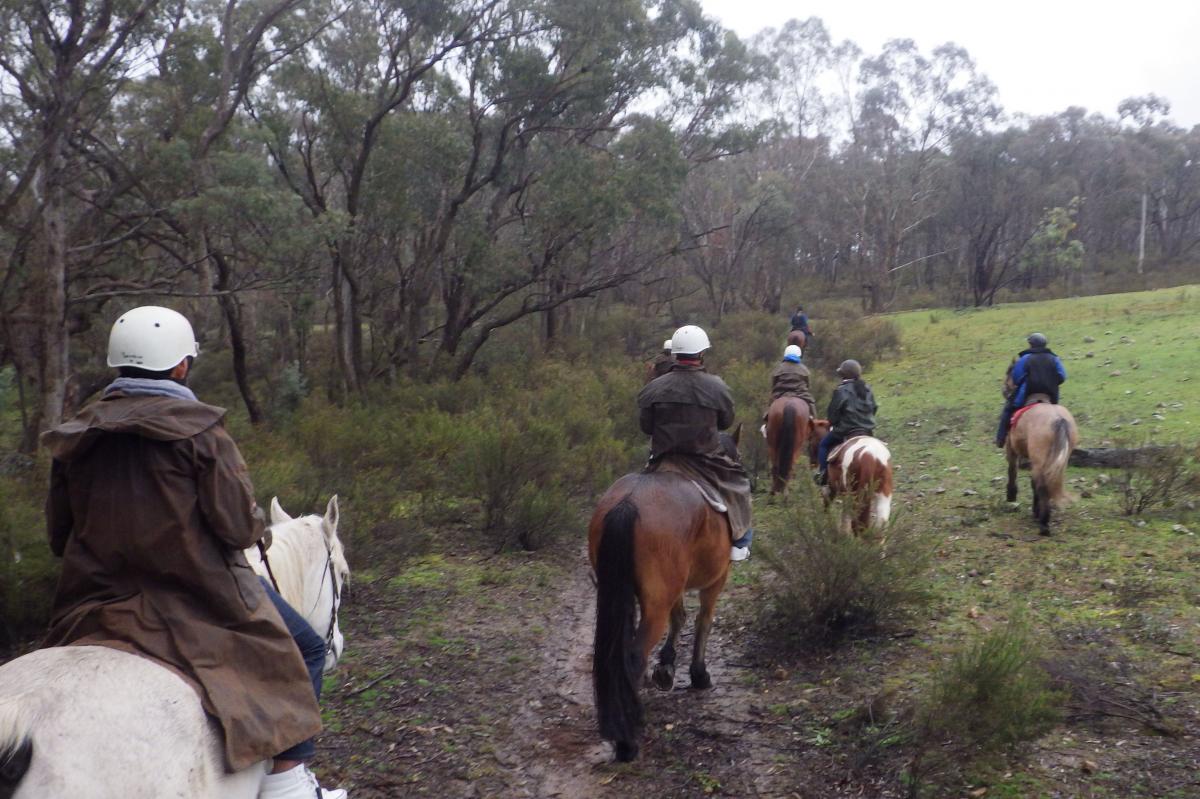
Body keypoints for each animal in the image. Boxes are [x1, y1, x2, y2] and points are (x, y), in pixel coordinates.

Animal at [590, 429, 739, 758]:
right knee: (634, 655)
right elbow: (703, 621)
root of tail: (627, 504)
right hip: (656, 604)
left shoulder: (674, 588)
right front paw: (698, 674)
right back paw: (627, 741)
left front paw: (666, 666)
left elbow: (680, 616)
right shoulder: (717, 578)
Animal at [1003, 400, 1080, 532]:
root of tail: (1058, 419)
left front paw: (1011, 496)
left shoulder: (1011, 448)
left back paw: (1044, 524)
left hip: (1039, 462)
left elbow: (1012, 471)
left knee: (1041, 487)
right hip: (1060, 460)